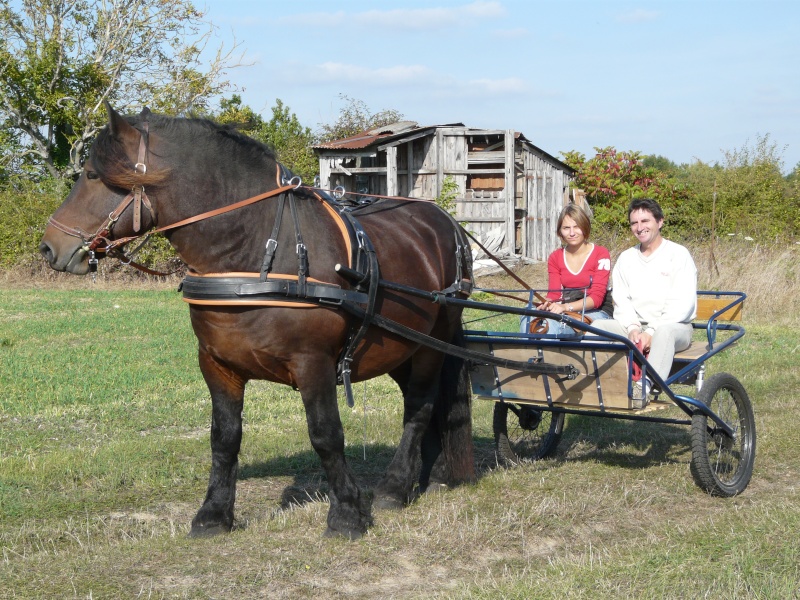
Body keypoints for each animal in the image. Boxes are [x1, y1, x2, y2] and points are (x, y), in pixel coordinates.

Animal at [39, 104, 476, 540]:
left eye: (92, 175)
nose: (48, 248)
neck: (256, 254)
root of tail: (445, 221)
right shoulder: (217, 364)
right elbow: (224, 438)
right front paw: (213, 514)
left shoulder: (313, 363)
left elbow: (326, 435)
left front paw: (348, 513)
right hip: (400, 347)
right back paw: (431, 473)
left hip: (431, 343)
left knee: (420, 406)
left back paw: (397, 486)